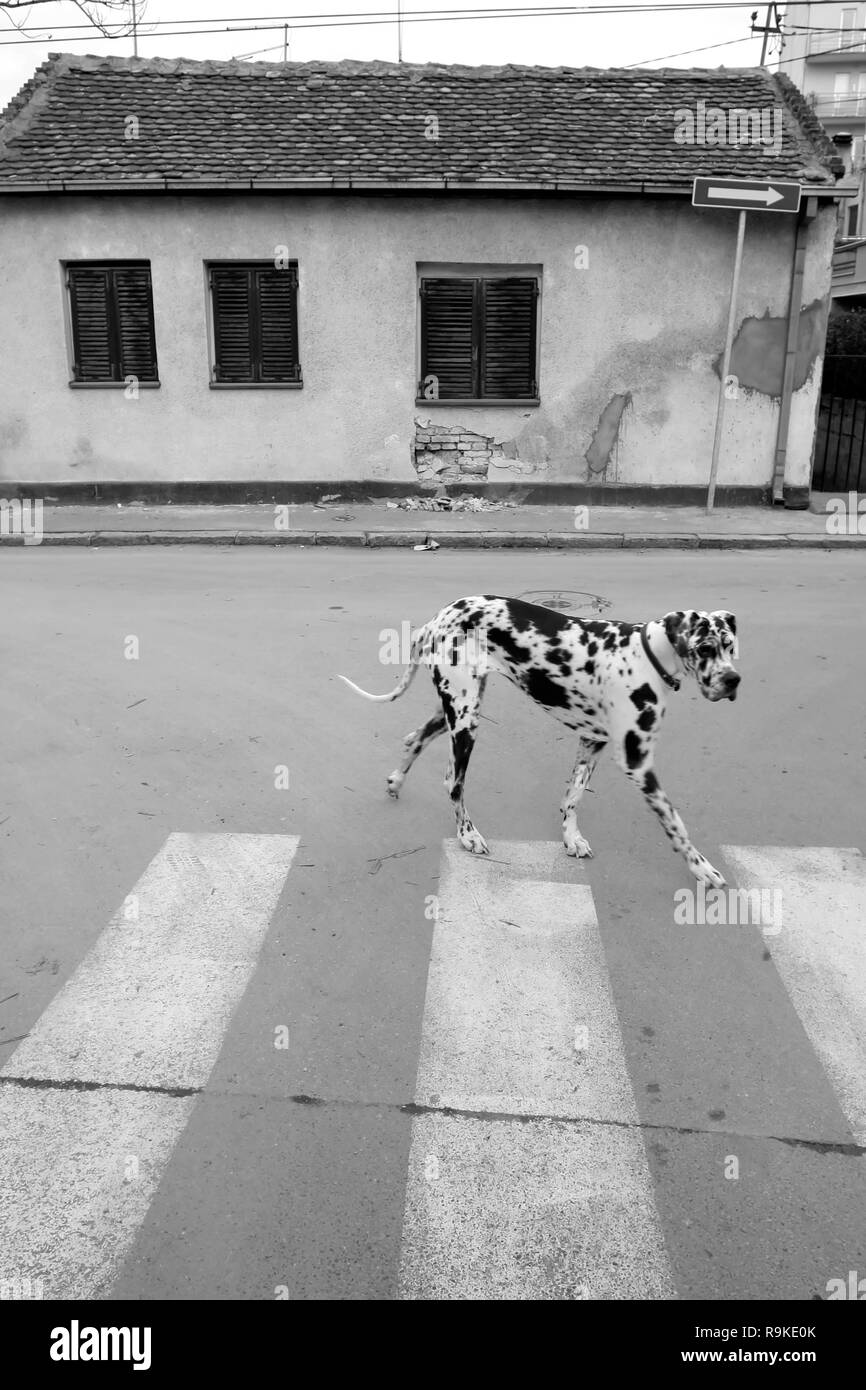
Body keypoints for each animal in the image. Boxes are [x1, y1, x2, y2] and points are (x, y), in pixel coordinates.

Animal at [337, 594, 739, 878]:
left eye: (731, 646)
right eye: (705, 648)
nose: (733, 680)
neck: (647, 656)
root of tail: (437, 619)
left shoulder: (592, 741)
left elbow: (573, 797)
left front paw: (571, 838)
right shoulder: (637, 762)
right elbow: (676, 823)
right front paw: (702, 869)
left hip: (457, 709)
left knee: (415, 737)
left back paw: (396, 781)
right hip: (465, 721)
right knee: (453, 782)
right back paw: (467, 834)